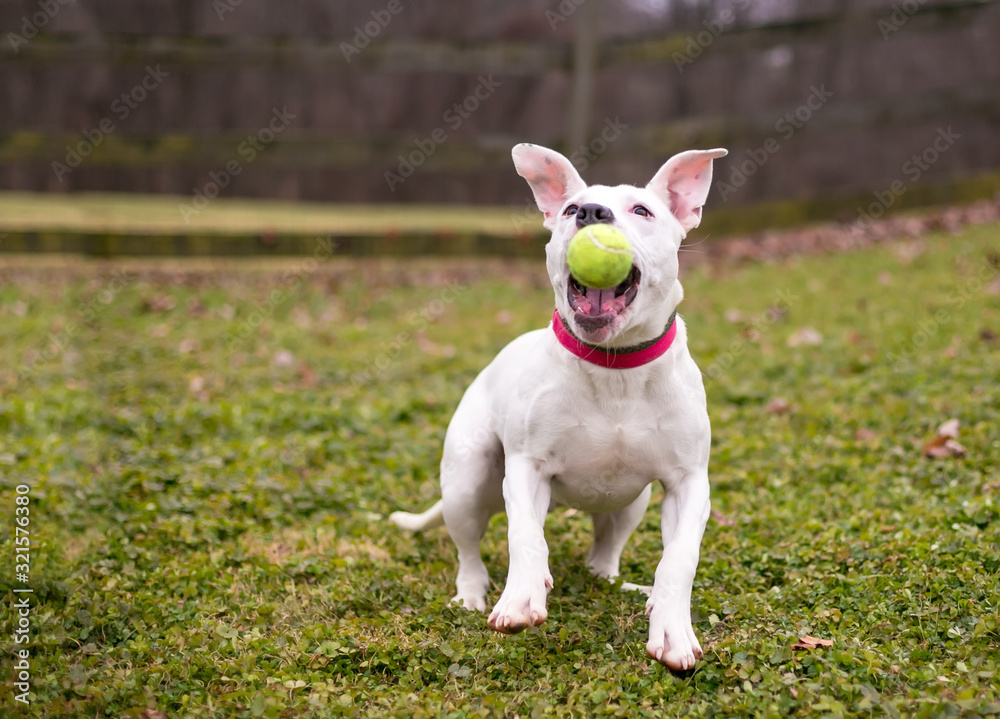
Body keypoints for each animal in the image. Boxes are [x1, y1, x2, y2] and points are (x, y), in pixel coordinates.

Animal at [390, 143, 728, 672]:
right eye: (570, 210)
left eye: (642, 211)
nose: (591, 213)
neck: (615, 367)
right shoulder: (527, 469)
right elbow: (526, 536)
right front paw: (521, 598)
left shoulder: (688, 484)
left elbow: (679, 558)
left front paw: (672, 628)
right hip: (467, 479)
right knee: (468, 549)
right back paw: (471, 593)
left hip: (632, 504)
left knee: (605, 548)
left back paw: (615, 582)